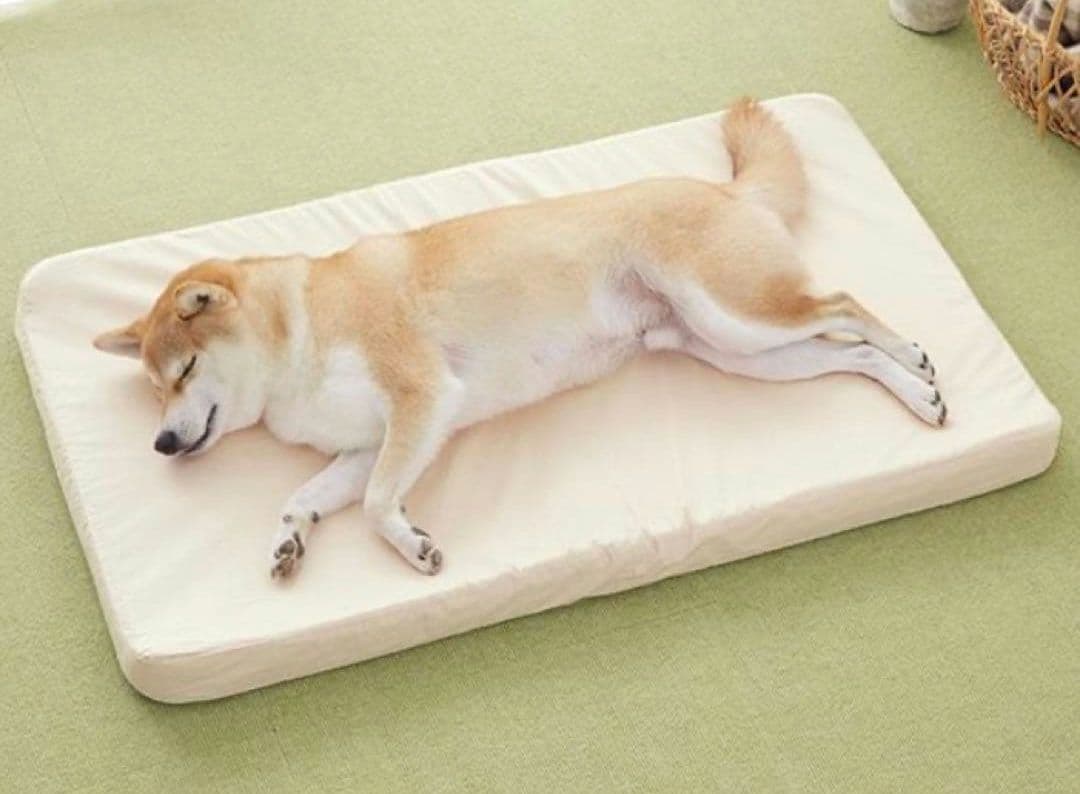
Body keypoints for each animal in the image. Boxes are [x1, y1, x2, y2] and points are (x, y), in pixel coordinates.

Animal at [93, 99, 946, 580]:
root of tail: (724, 188)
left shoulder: (421, 401)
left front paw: (409, 544)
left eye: (185, 370)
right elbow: (310, 496)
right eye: (155, 389)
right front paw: (291, 539)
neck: (300, 331)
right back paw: (917, 394)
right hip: (737, 350)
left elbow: (374, 504)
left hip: (737, 312)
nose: (162, 444)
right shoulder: (371, 443)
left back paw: (915, 355)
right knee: (846, 350)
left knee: (845, 304)